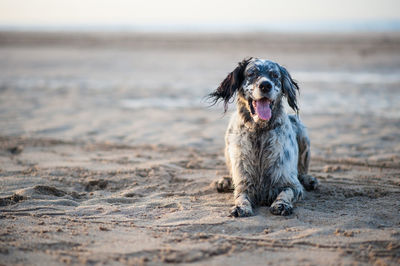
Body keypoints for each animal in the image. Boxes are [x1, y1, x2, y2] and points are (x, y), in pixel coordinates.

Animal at [209, 57, 318, 216]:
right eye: (251, 74)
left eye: (275, 75)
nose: (265, 85)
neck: (259, 132)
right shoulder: (245, 183)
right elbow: (241, 195)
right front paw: (241, 207)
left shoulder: (290, 183)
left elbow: (287, 191)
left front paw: (281, 204)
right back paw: (225, 181)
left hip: (301, 131)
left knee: (303, 170)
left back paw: (309, 179)